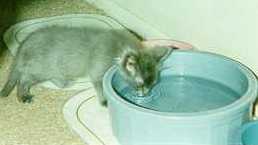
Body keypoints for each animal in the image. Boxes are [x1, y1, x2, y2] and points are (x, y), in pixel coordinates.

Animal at [0, 26, 170, 105]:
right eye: (140, 84)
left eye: (153, 84)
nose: (145, 93)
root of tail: (24, 44)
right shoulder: (98, 70)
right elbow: (100, 85)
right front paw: (104, 101)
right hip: (41, 68)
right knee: (23, 79)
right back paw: (22, 95)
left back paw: (62, 81)